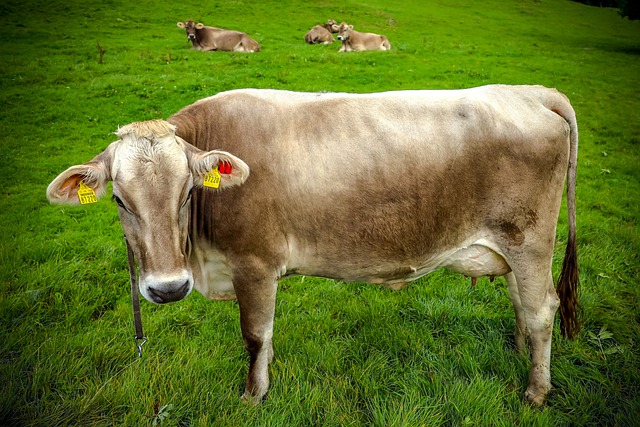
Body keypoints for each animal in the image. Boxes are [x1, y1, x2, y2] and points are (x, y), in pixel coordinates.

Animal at [47, 85, 580, 406]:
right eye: (120, 199)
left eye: (186, 194)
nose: (167, 288)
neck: (202, 263)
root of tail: (531, 92)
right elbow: (266, 338)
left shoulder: (254, 264)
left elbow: (254, 335)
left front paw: (253, 395)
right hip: (513, 247)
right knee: (521, 302)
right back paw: (518, 353)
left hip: (531, 241)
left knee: (542, 309)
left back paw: (536, 390)